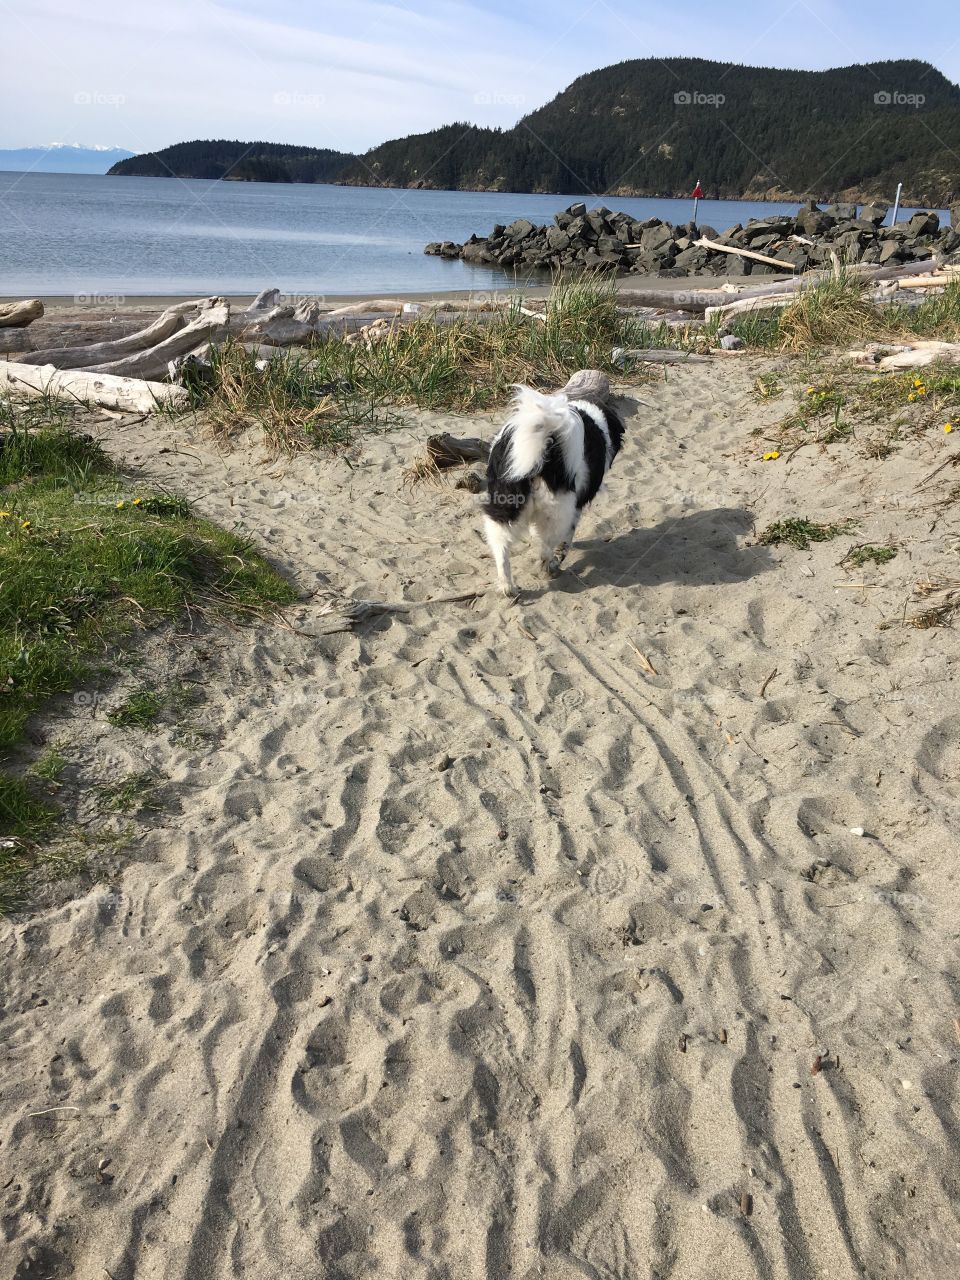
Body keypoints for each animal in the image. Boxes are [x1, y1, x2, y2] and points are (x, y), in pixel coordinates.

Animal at [481, 384, 632, 593]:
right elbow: (567, 538)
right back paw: (549, 567)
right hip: (557, 509)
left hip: (505, 503)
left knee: (500, 543)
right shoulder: (575, 509)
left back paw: (506, 585)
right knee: (546, 546)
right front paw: (560, 555)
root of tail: (547, 441)